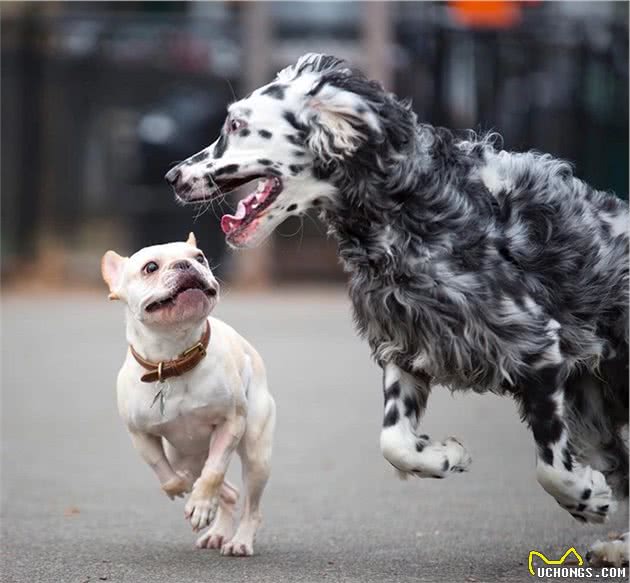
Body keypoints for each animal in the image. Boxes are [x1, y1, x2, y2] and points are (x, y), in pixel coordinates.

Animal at [165, 54, 628, 564]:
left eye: (235, 124)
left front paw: (588, 498)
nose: (172, 177)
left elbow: (552, 469)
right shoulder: (407, 349)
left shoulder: (537, 350)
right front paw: (447, 455)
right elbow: (395, 443)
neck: (410, 211)